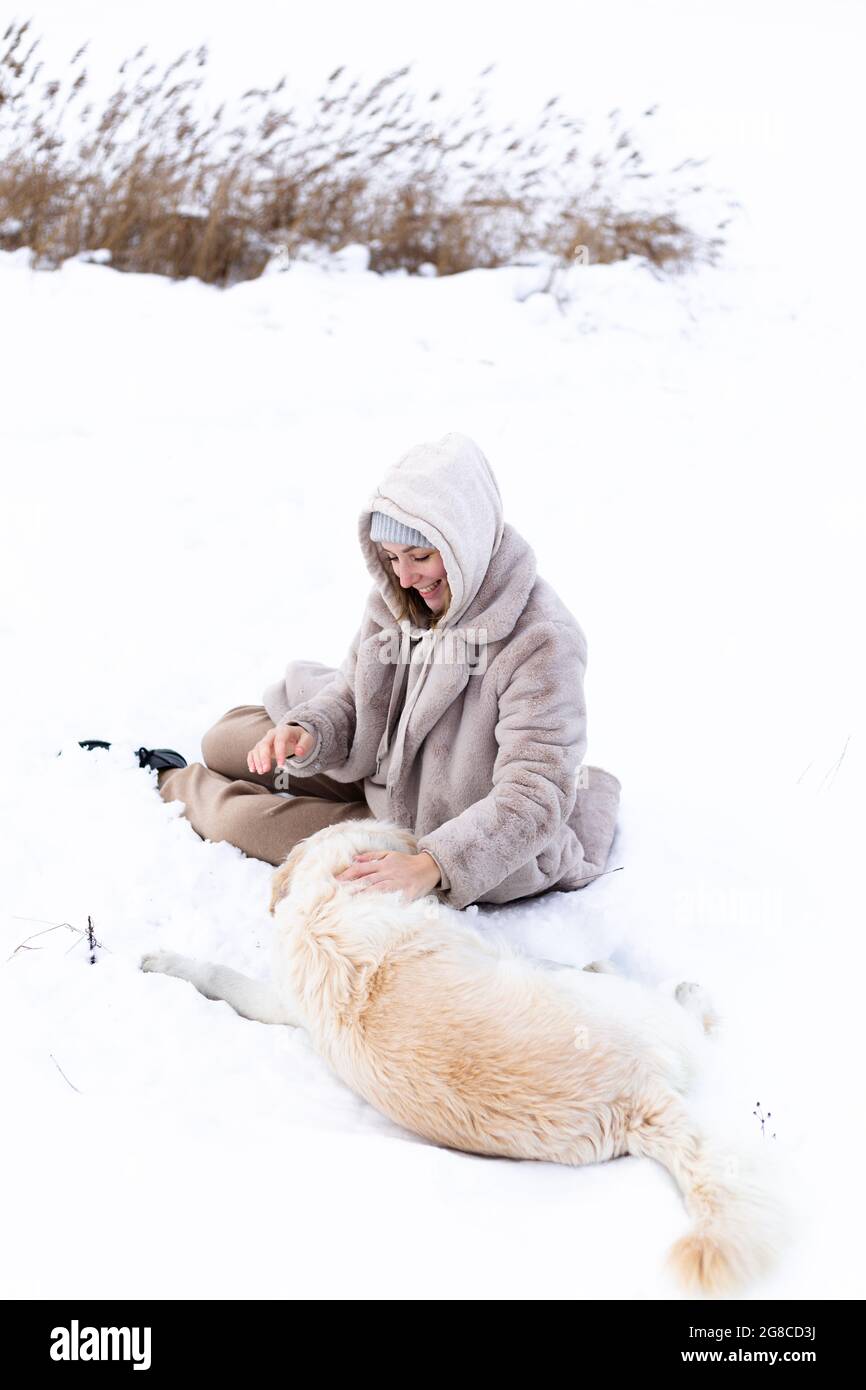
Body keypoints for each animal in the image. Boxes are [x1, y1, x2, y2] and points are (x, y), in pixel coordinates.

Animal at [140, 811, 783, 1289]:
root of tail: (631, 1100)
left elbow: (221, 975)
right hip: (631, 1009)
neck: (332, 897)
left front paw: (161, 961)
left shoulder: (280, 1001)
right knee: (681, 1013)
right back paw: (672, 987)